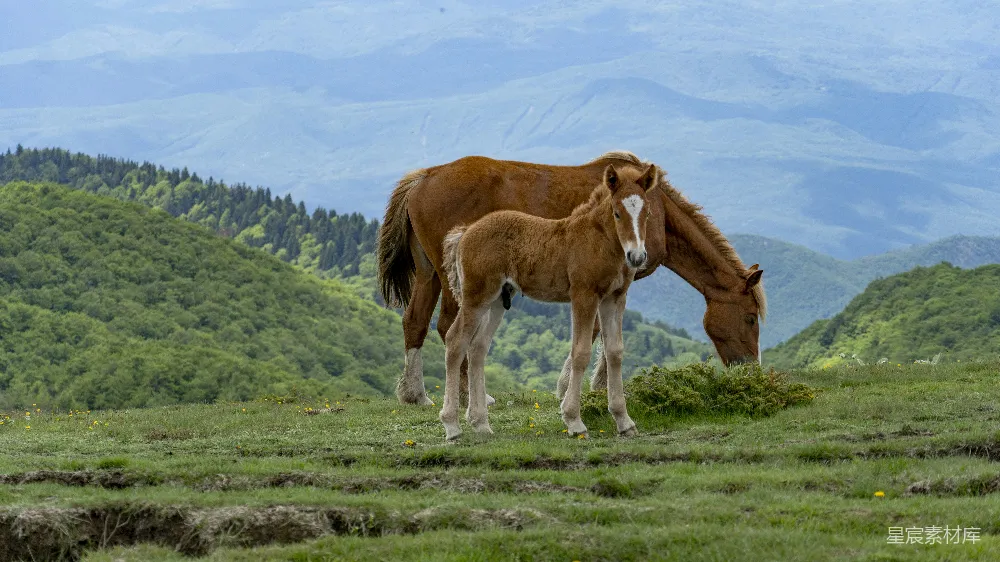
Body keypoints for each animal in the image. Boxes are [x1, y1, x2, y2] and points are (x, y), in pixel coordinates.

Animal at [378, 151, 766, 406]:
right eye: (750, 317)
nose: (751, 370)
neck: (658, 212)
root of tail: (424, 177)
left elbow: (605, 333)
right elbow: (597, 331)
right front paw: (576, 388)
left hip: (429, 273)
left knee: (415, 322)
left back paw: (415, 395)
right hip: (456, 278)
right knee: (448, 327)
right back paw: (470, 395)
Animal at [439, 164, 658, 440]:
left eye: (647, 213)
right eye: (617, 213)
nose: (637, 256)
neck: (600, 241)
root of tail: (465, 232)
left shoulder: (615, 298)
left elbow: (615, 352)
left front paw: (624, 422)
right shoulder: (584, 295)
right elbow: (580, 352)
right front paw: (574, 420)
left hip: (498, 299)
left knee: (478, 347)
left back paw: (481, 423)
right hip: (476, 296)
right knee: (456, 340)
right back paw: (452, 426)